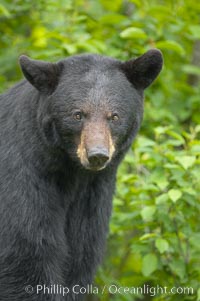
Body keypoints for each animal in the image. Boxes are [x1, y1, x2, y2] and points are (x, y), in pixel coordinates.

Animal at [0, 48, 162, 298]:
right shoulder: (21, 179)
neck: (71, 173)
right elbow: (26, 255)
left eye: (114, 116)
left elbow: (80, 258)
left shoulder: (92, 196)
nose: (97, 155)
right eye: (78, 114)